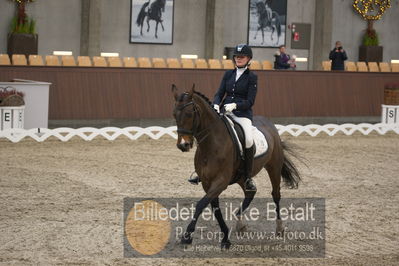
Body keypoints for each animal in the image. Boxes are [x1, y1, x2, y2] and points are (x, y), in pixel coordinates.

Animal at [171, 84, 300, 248]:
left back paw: (279, 228)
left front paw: (187, 236)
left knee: (276, 195)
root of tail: (270, 125)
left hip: (274, 167)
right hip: (242, 176)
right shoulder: (207, 182)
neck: (212, 143)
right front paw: (226, 237)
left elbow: (200, 205)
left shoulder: (221, 181)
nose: (183, 145)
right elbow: (215, 208)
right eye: (174, 115)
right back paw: (240, 224)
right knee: (250, 192)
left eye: (189, 114)